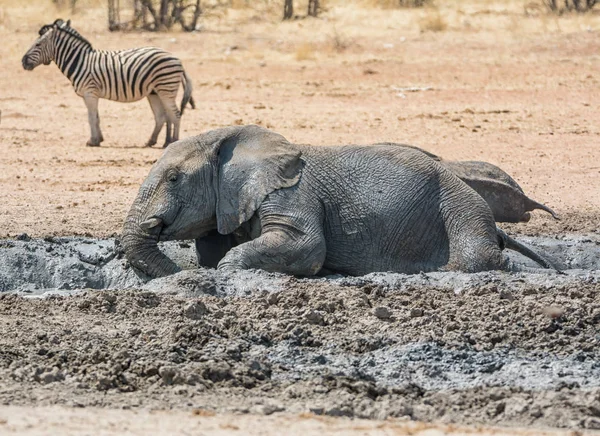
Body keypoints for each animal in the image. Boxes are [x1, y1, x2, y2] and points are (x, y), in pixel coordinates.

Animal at [20, 19, 195, 146]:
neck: (79, 61)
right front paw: (99, 139)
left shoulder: (90, 92)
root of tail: (177, 59)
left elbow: (91, 117)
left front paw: (92, 141)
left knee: (175, 114)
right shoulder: (91, 94)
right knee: (163, 116)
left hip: (166, 88)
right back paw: (155, 141)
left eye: (37, 44)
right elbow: (96, 117)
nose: (23, 62)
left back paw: (173, 142)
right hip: (155, 92)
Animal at [123, 124, 556, 278]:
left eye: (174, 178)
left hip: (461, 203)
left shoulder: (293, 193)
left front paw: (227, 274)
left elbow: (305, 246)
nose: (175, 276)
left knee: (478, 259)